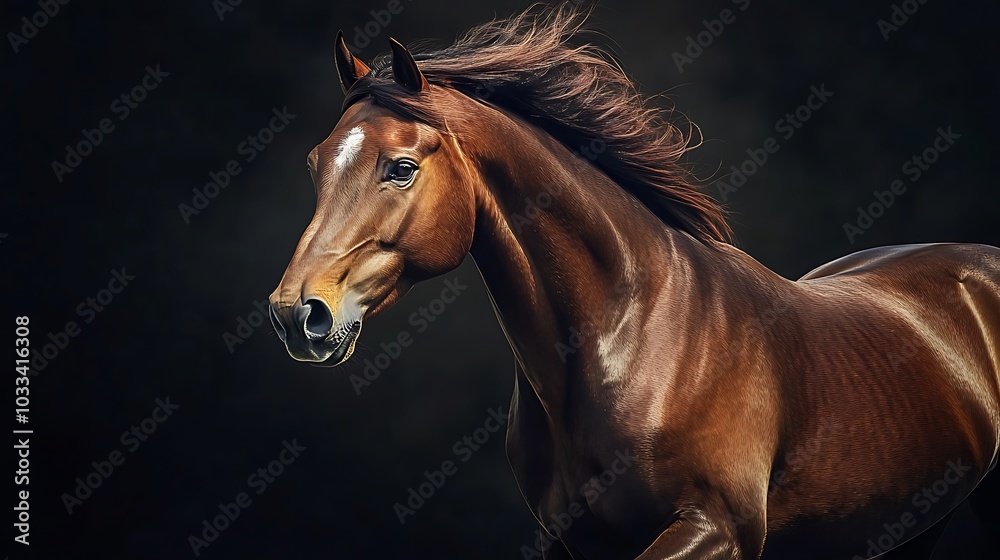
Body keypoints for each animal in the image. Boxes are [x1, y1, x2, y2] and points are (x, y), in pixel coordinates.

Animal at [267, 6, 1000, 559]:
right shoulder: (576, 544)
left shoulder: (715, 530)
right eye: (314, 164)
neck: (632, 337)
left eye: (400, 168)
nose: (297, 314)